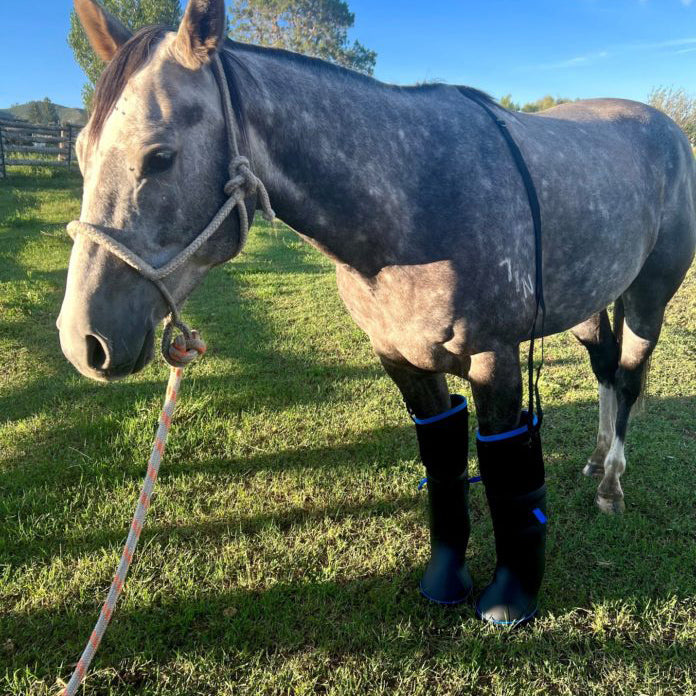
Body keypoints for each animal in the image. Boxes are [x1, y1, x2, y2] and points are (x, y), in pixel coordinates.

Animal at [58, 0, 696, 625]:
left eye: (160, 156)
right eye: (81, 152)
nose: (82, 341)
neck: (413, 200)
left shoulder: (497, 360)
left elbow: (506, 478)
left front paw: (510, 599)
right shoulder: (401, 360)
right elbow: (442, 464)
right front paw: (446, 580)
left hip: (649, 297)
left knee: (629, 377)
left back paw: (611, 483)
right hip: (588, 302)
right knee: (606, 370)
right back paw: (595, 460)